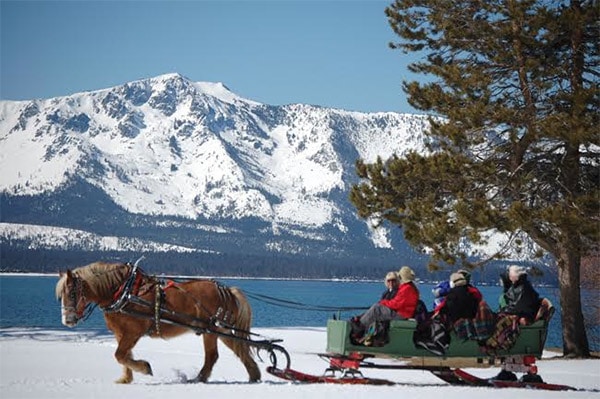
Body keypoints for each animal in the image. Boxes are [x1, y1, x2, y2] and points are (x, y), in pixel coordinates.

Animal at [55, 260, 260, 386]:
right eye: (60, 296)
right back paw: (254, 376)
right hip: (219, 329)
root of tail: (226, 290)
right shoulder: (120, 333)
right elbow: (123, 355)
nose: (67, 320)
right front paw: (125, 379)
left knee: (213, 355)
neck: (123, 292)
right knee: (239, 348)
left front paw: (144, 368)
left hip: (210, 329)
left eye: (72, 293)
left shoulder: (133, 332)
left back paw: (198, 379)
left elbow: (120, 354)